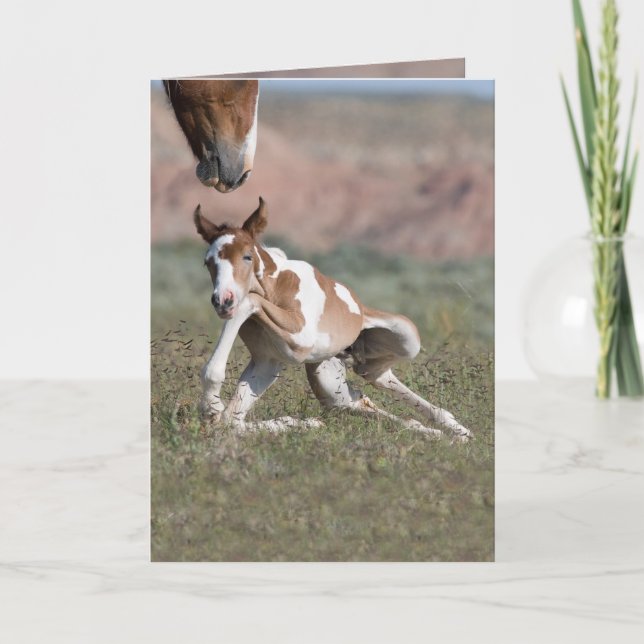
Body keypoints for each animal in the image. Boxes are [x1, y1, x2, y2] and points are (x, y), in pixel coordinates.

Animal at [193, 198, 472, 440]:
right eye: (208, 262)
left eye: (247, 256)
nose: (222, 300)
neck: (278, 287)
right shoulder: (267, 362)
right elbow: (231, 422)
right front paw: (302, 423)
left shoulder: (299, 341)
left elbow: (248, 301)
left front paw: (210, 407)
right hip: (329, 383)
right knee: (365, 389)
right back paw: (447, 432)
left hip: (408, 339)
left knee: (376, 376)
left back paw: (457, 430)